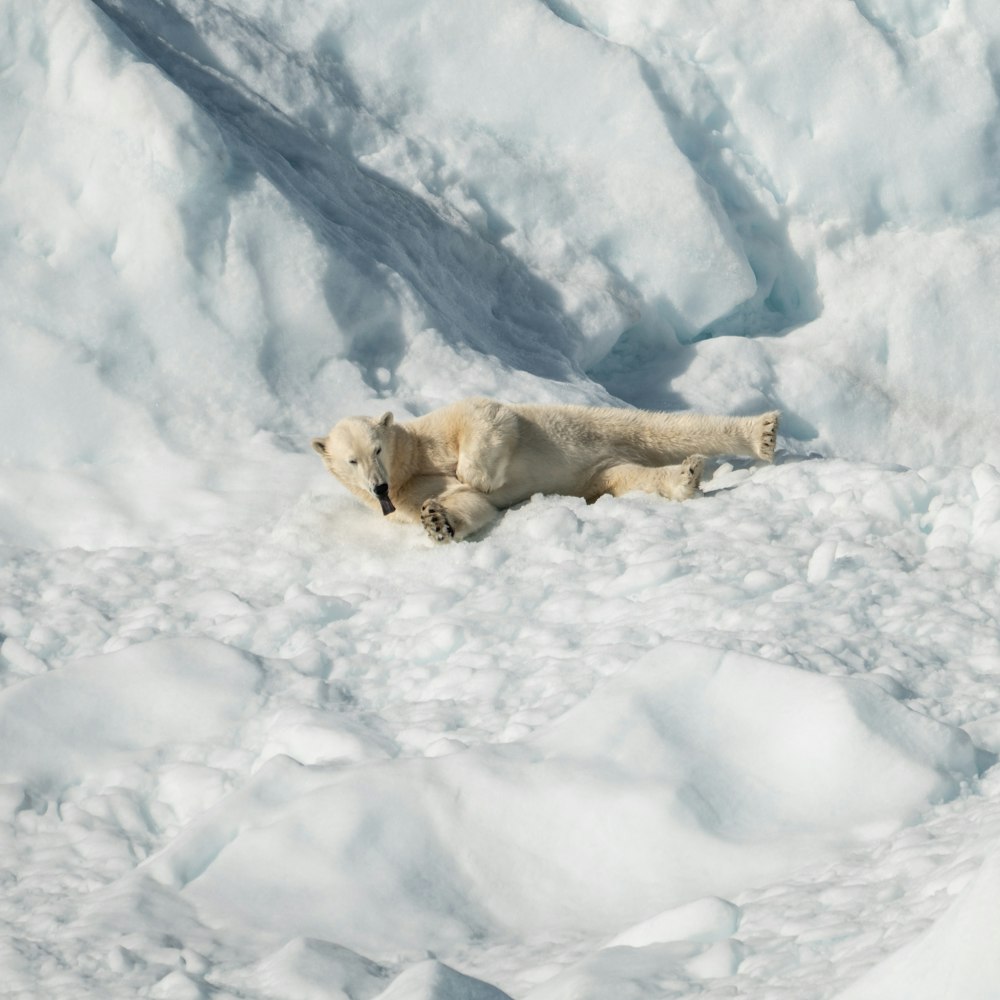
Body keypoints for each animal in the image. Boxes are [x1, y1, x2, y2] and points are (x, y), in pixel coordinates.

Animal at [312, 396, 780, 544]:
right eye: (352, 460)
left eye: (376, 449)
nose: (379, 488)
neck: (407, 464)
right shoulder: (406, 494)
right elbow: (466, 504)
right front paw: (437, 521)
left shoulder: (436, 431)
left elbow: (486, 416)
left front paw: (474, 474)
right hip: (599, 473)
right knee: (631, 478)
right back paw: (685, 477)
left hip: (593, 423)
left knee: (666, 427)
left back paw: (762, 432)